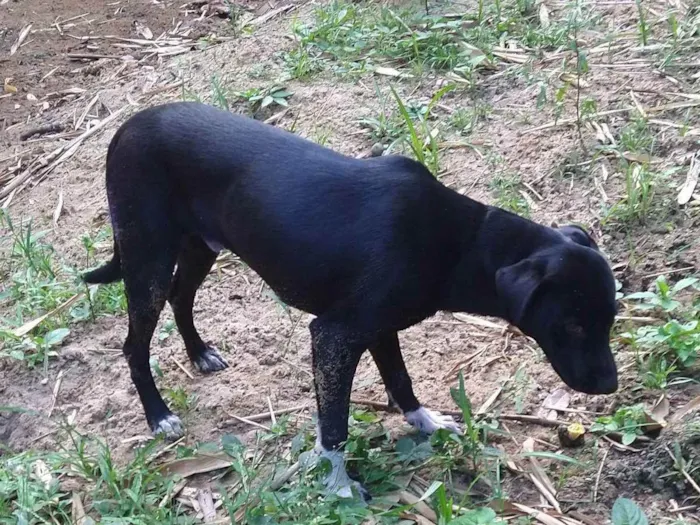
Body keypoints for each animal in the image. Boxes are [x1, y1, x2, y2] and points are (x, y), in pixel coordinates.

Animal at [83, 102, 616, 500]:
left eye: (610, 319)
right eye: (572, 325)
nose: (610, 386)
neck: (459, 241)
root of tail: (127, 127)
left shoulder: (379, 328)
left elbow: (400, 380)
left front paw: (426, 423)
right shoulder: (336, 336)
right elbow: (334, 426)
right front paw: (338, 485)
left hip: (199, 247)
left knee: (182, 298)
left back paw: (198, 353)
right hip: (148, 260)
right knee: (135, 344)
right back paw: (159, 416)